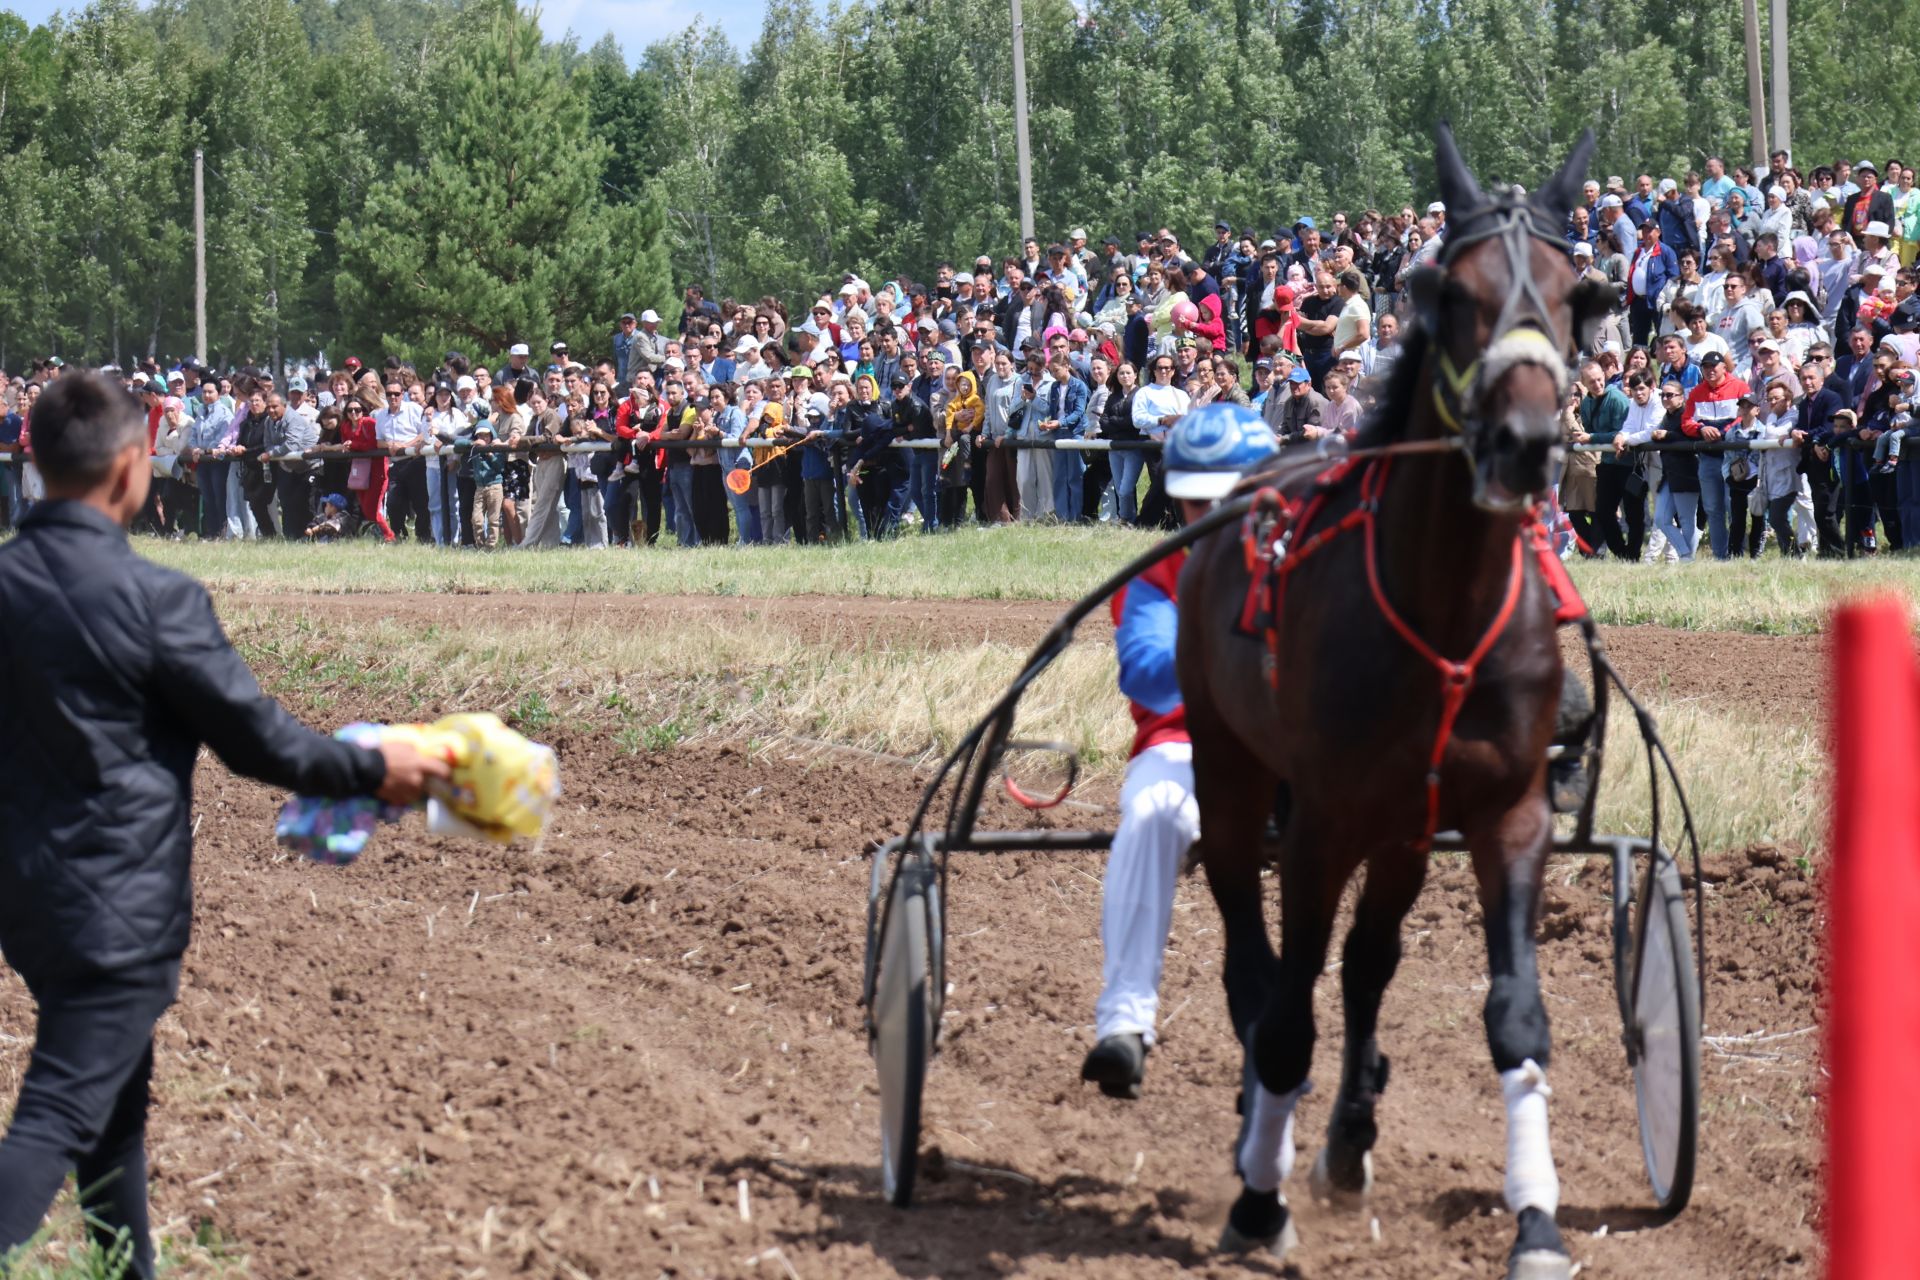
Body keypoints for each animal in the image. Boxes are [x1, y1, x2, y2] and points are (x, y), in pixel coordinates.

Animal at [1175, 122, 1612, 1280]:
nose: (1526, 442)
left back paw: (1348, 1133)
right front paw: (1257, 1202)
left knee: (1368, 964)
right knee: (1253, 958)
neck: (1444, 608)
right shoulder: (1320, 819)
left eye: (1577, 292)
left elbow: (1515, 1017)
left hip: (1405, 829)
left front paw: (1537, 1221)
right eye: (1450, 290)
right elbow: (1288, 1009)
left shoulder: (1503, 812)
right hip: (1233, 775)